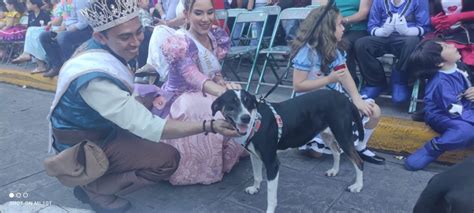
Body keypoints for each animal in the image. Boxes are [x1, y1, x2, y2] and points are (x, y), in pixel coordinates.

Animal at [212, 89, 366, 212]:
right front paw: (255, 188)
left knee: (358, 161)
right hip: (327, 133)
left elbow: (271, 195)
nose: (245, 118)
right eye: (231, 104)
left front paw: (269, 210)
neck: (255, 122)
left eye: (248, 103)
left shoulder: (272, 164)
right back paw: (334, 171)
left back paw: (357, 186)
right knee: (336, 151)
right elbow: (257, 176)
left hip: (343, 135)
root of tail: (345, 99)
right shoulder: (254, 156)